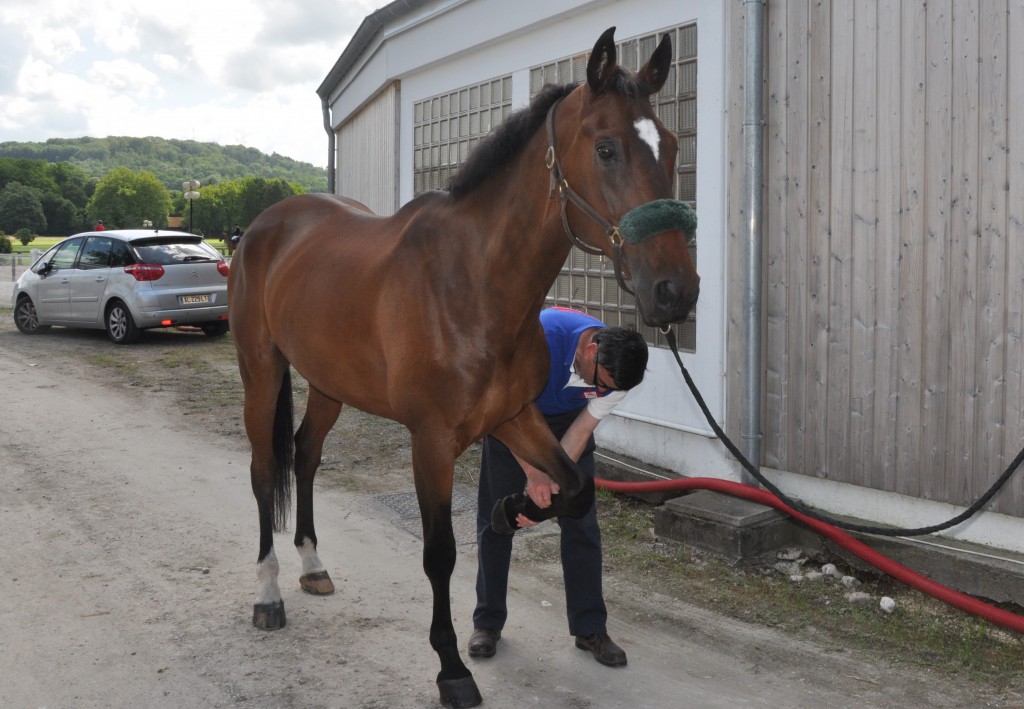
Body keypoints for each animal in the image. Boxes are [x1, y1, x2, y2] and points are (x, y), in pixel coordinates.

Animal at [230, 24, 696, 704]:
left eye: (672, 145)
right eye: (607, 148)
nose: (676, 290)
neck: (474, 283)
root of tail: (263, 226)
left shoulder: (514, 417)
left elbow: (575, 488)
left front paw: (512, 510)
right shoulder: (431, 441)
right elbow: (441, 554)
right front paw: (451, 666)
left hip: (328, 384)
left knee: (306, 454)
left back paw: (313, 565)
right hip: (261, 371)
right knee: (267, 470)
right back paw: (267, 594)